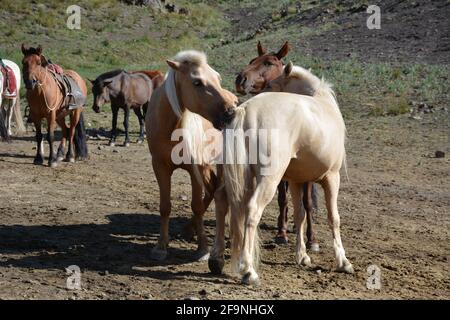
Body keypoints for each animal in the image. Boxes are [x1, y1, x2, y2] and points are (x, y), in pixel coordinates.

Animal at [145, 49, 237, 260]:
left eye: (218, 78)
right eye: (197, 82)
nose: (231, 112)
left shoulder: (196, 169)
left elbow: (196, 206)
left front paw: (202, 249)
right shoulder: (160, 167)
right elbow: (165, 206)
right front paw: (160, 246)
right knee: (213, 191)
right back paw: (189, 229)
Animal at [213, 62, 354, 284]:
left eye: (271, 84)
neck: (322, 105)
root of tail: (245, 111)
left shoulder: (297, 181)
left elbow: (300, 214)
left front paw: (302, 256)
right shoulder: (332, 177)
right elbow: (334, 218)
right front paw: (343, 261)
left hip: (233, 177)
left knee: (221, 202)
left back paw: (216, 260)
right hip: (269, 181)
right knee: (252, 210)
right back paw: (248, 271)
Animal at [236, 40, 320, 250]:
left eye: (268, 63)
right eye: (252, 60)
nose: (240, 79)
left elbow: (307, 201)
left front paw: (312, 239)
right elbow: (282, 198)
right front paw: (281, 232)